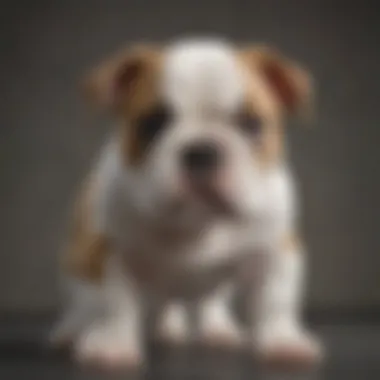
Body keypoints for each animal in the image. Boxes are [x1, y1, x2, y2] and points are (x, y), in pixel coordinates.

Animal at [50, 37, 322, 370]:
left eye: (251, 123)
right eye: (152, 123)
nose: (201, 151)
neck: (198, 222)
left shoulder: (277, 250)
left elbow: (277, 301)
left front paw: (283, 341)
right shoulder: (108, 251)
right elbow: (114, 302)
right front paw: (112, 345)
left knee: (209, 301)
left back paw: (213, 329)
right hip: (74, 265)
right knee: (81, 306)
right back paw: (69, 332)